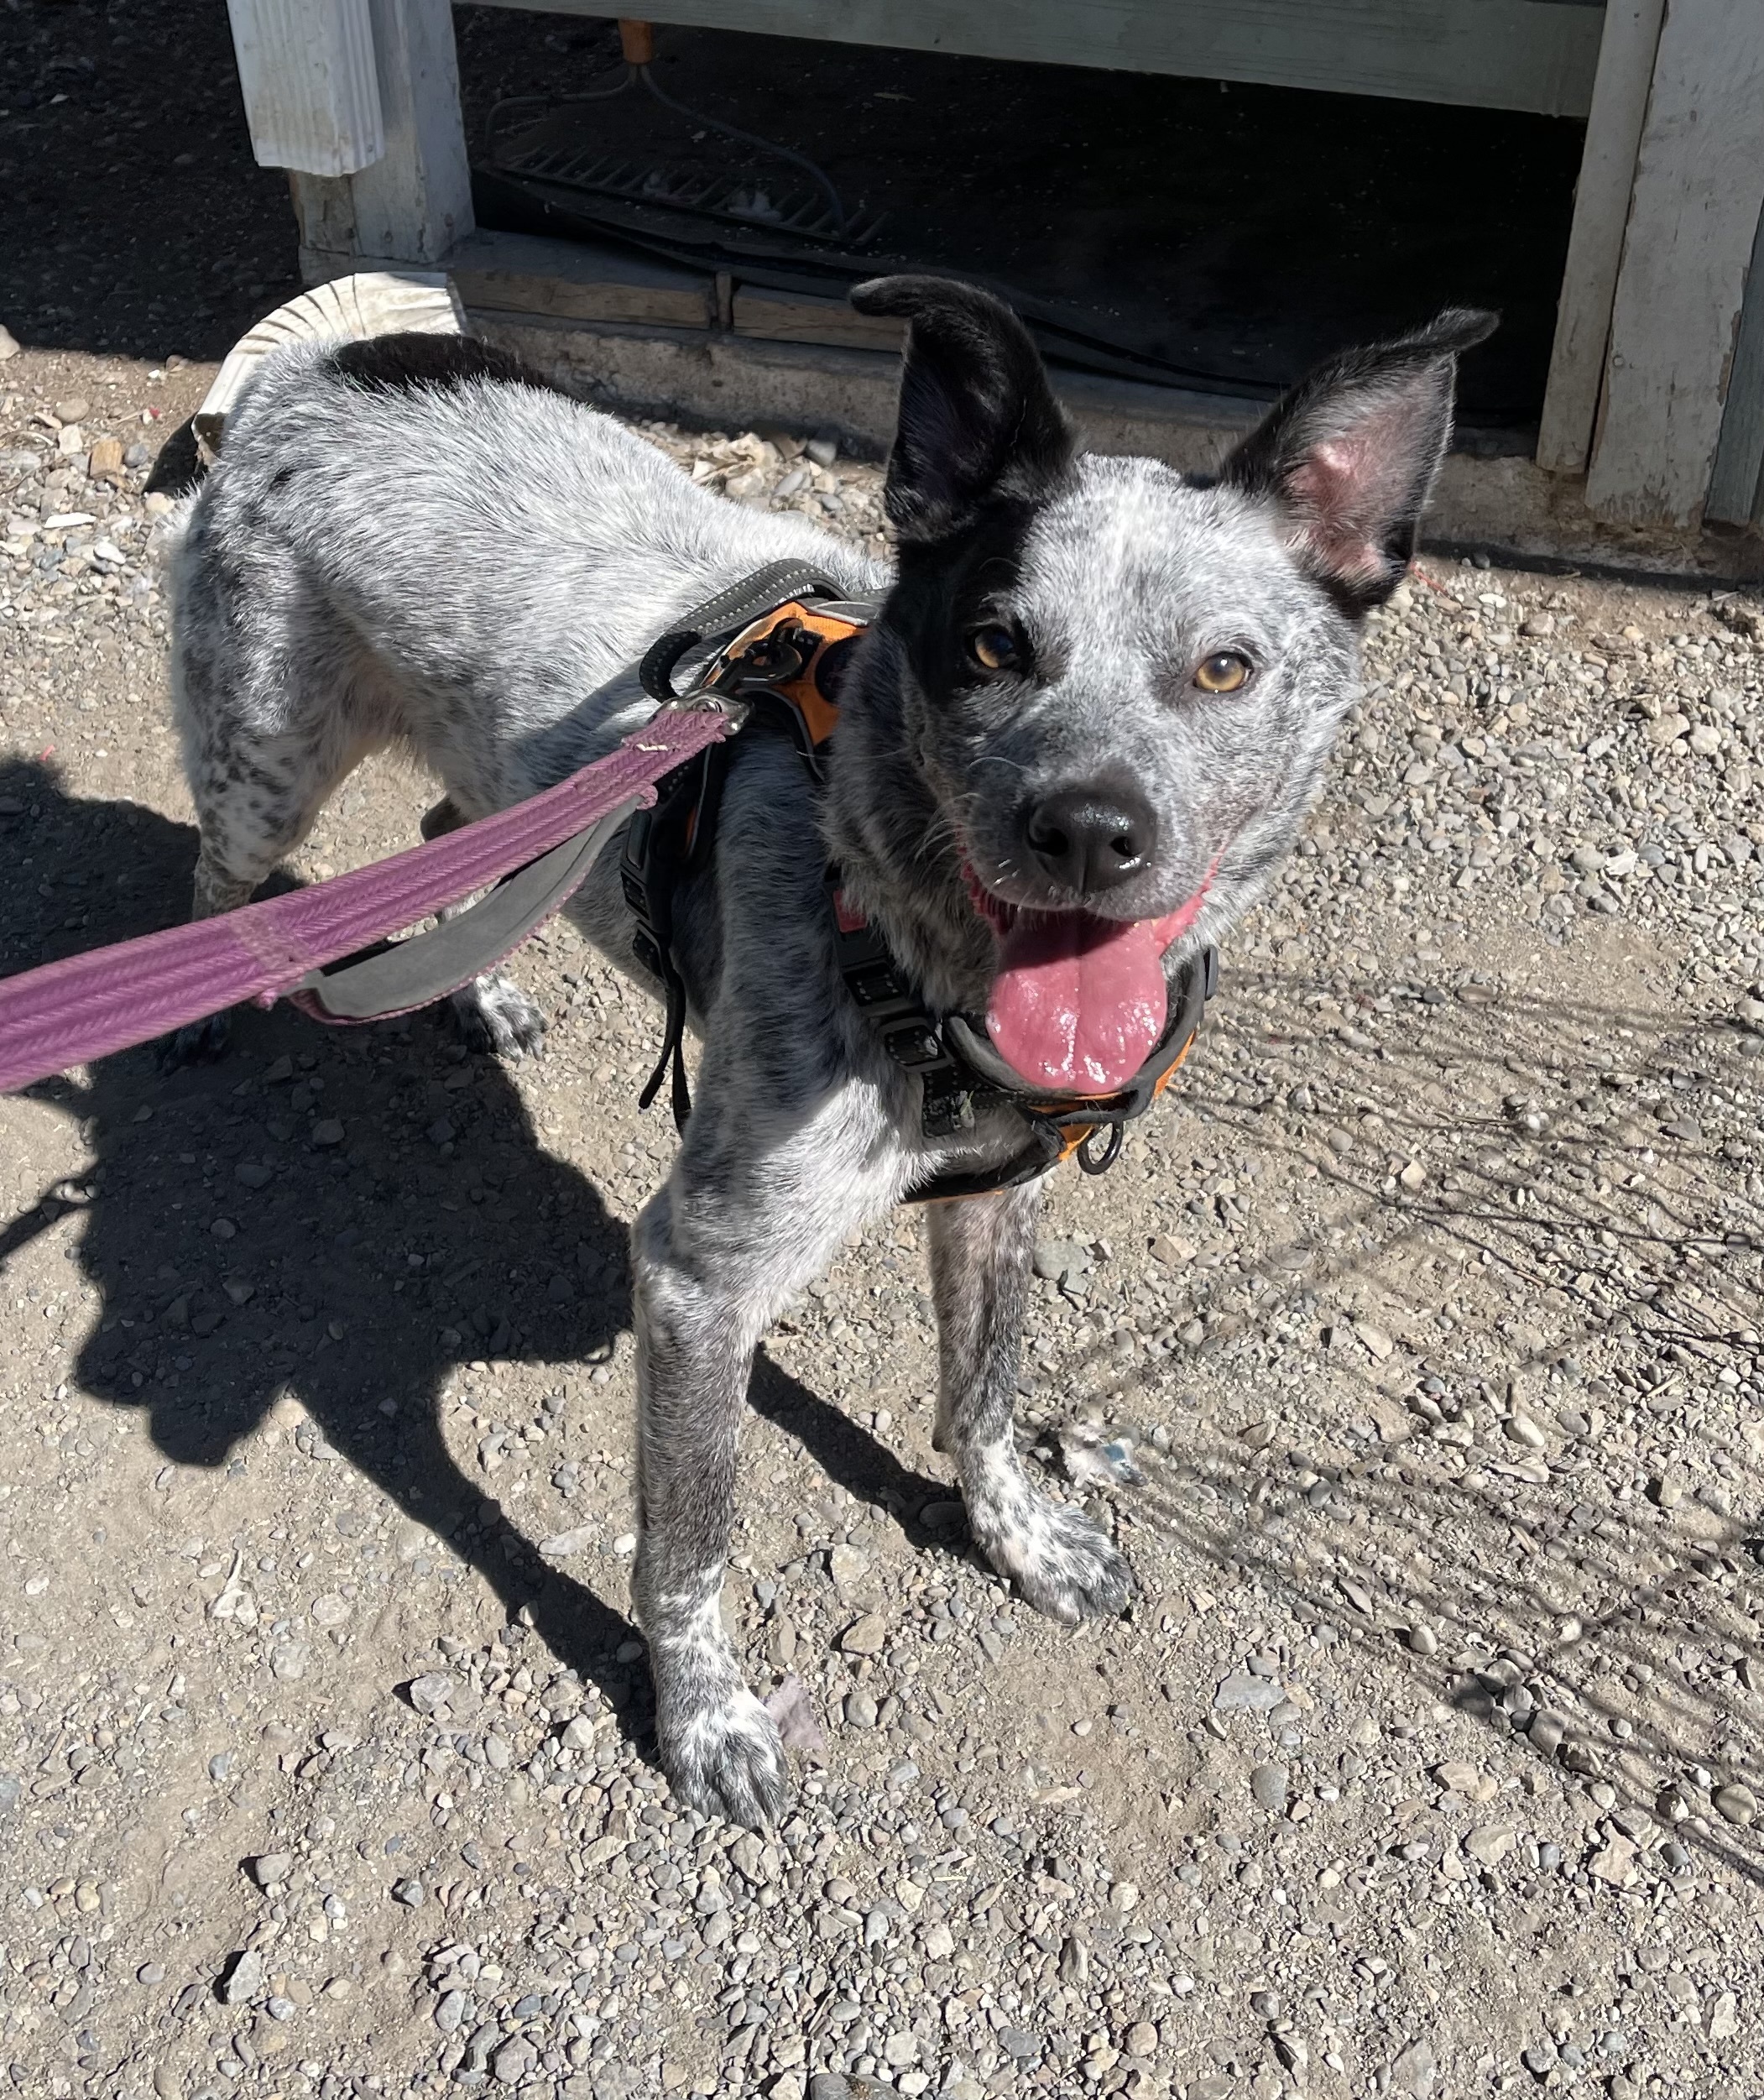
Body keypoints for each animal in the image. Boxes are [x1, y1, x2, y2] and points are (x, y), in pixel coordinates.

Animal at [165, 279, 1495, 1822]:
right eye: (991, 645)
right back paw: (205, 1012)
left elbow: (984, 1394)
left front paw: (1019, 1537)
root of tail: (322, 364)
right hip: (264, 770)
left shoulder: (995, 1196)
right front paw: (704, 1719)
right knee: (214, 882)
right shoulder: (696, 1279)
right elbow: (690, 1541)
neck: (901, 936)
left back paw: (475, 994)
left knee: (451, 828)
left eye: (1223, 667)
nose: (1085, 829)